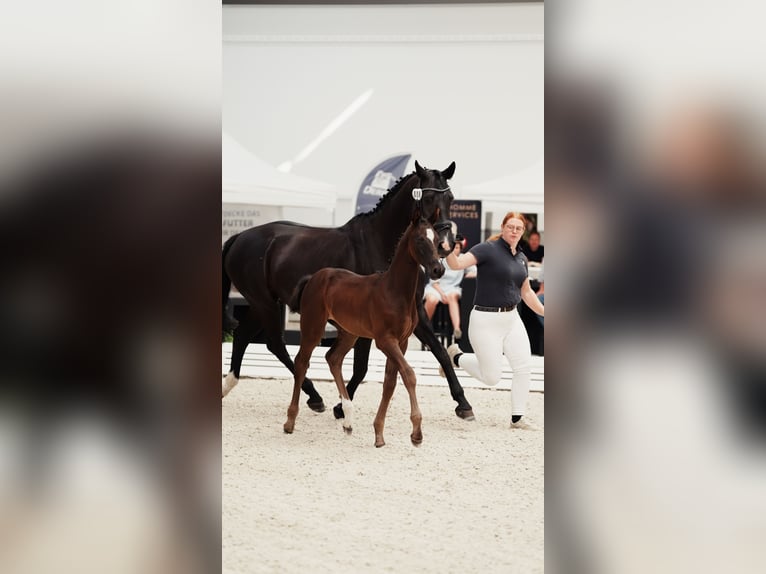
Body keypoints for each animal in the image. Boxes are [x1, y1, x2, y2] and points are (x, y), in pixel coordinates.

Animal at [222, 160, 476, 420]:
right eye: (427, 198)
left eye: (451, 198)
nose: (446, 244)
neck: (381, 243)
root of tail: (238, 237)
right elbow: (361, 366)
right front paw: (341, 406)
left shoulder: (415, 312)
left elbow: (440, 351)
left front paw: (463, 403)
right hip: (265, 303)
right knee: (275, 344)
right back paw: (315, 397)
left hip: (262, 303)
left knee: (243, 336)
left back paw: (230, 384)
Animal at [284, 212, 444, 447]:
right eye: (420, 239)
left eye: (438, 239)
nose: (438, 269)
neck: (394, 291)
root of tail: (314, 277)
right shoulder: (385, 341)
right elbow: (409, 375)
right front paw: (416, 433)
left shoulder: (402, 342)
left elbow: (390, 383)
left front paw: (379, 434)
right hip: (313, 327)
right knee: (301, 362)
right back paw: (290, 421)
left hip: (349, 333)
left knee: (333, 358)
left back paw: (348, 420)